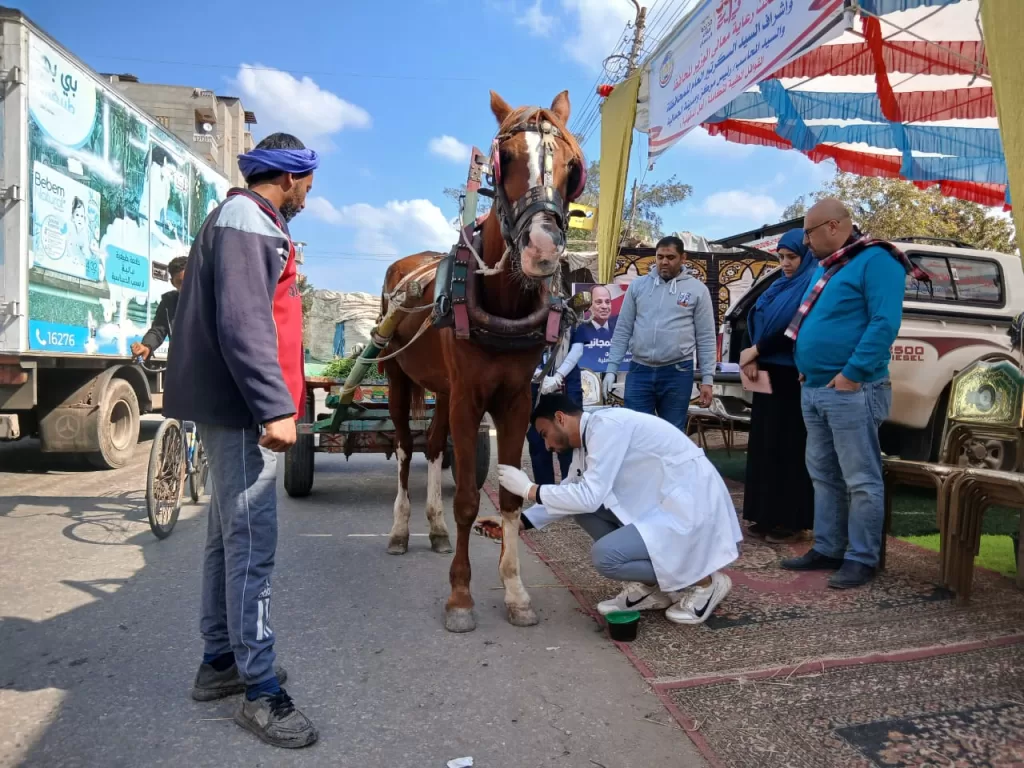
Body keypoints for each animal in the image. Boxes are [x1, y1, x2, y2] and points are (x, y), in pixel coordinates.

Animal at [378, 88, 585, 630]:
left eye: (573, 167)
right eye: (503, 159)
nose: (542, 248)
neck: (503, 301)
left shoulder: (513, 402)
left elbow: (511, 497)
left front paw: (515, 592)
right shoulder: (468, 401)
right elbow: (470, 498)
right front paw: (460, 596)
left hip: (442, 390)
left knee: (432, 447)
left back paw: (433, 528)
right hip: (399, 379)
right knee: (405, 450)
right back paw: (401, 531)